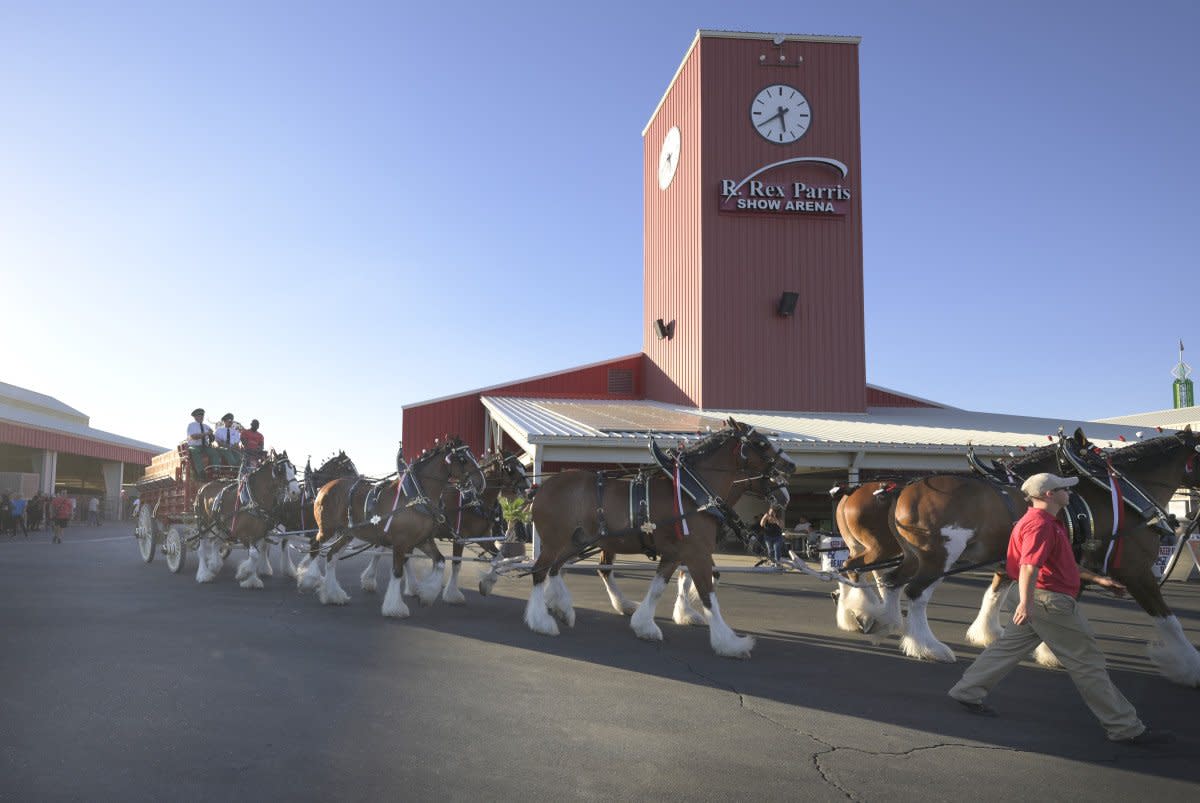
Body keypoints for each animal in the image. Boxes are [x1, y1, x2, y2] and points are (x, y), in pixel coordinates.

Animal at [193, 451, 302, 588]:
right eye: (280, 470)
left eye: (293, 469)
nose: (296, 492)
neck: (252, 500)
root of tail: (203, 487)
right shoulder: (242, 534)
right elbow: (254, 555)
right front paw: (244, 572)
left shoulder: (259, 533)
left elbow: (257, 554)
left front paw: (252, 579)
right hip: (203, 524)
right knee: (202, 549)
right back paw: (204, 574)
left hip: (221, 525)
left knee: (215, 543)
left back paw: (214, 565)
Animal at [297, 434, 480, 619]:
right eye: (463, 459)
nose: (481, 481)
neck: (414, 497)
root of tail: (325, 487)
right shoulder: (400, 542)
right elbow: (397, 572)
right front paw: (395, 608)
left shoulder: (423, 540)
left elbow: (441, 561)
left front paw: (426, 594)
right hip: (327, 530)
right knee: (315, 545)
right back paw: (309, 578)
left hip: (347, 533)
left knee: (331, 556)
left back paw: (333, 595)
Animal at [523, 420, 787, 657]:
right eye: (761, 443)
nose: (790, 468)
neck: (692, 491)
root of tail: (541, 487)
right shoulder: (696, 553)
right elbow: (707, 594)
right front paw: (729, 643)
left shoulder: (675, 554)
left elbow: (661, 586)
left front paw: (647, 624)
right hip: (556, 542)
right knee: (540, 571)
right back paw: (541, 621)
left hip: (573, 543)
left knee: (555, 569)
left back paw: (563, 608)